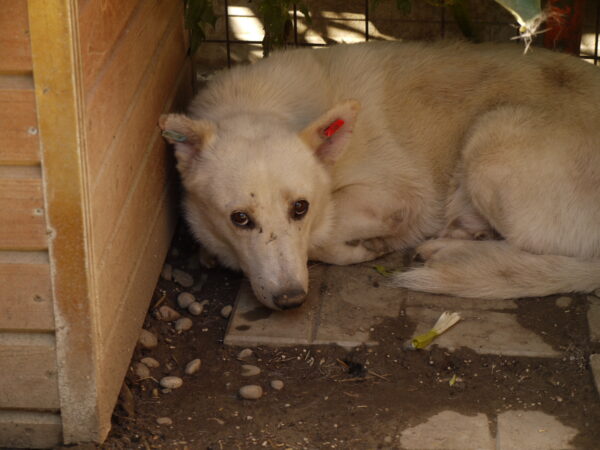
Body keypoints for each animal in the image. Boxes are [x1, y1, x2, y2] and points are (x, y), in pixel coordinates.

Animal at [159, 41, 600, 310]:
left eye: (301, 208)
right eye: (239, 218)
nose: (290, 300)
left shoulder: (400, 198)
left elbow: (323, 237)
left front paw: (368, 247)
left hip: (493, 136)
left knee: (534, 248)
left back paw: (449, 252)